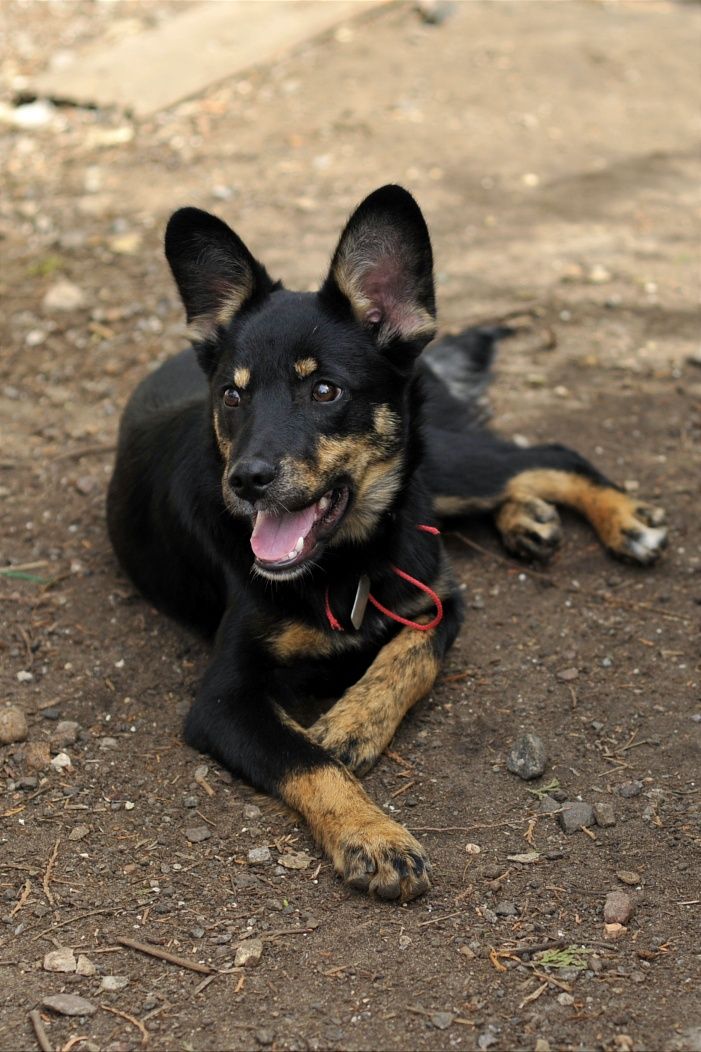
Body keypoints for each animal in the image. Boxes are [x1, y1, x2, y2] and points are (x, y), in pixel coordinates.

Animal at [105, 185, 665, 900]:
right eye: (232, 396)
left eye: (324, 389)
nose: (246, 481)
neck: (349, 561)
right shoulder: (223, 701)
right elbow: (309, 759)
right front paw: (373, 835)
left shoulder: (441, 600)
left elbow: (410, 658)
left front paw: (353, 721)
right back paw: (530, 520)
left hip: (443, 462)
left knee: (546, 452)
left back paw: (624, 519)